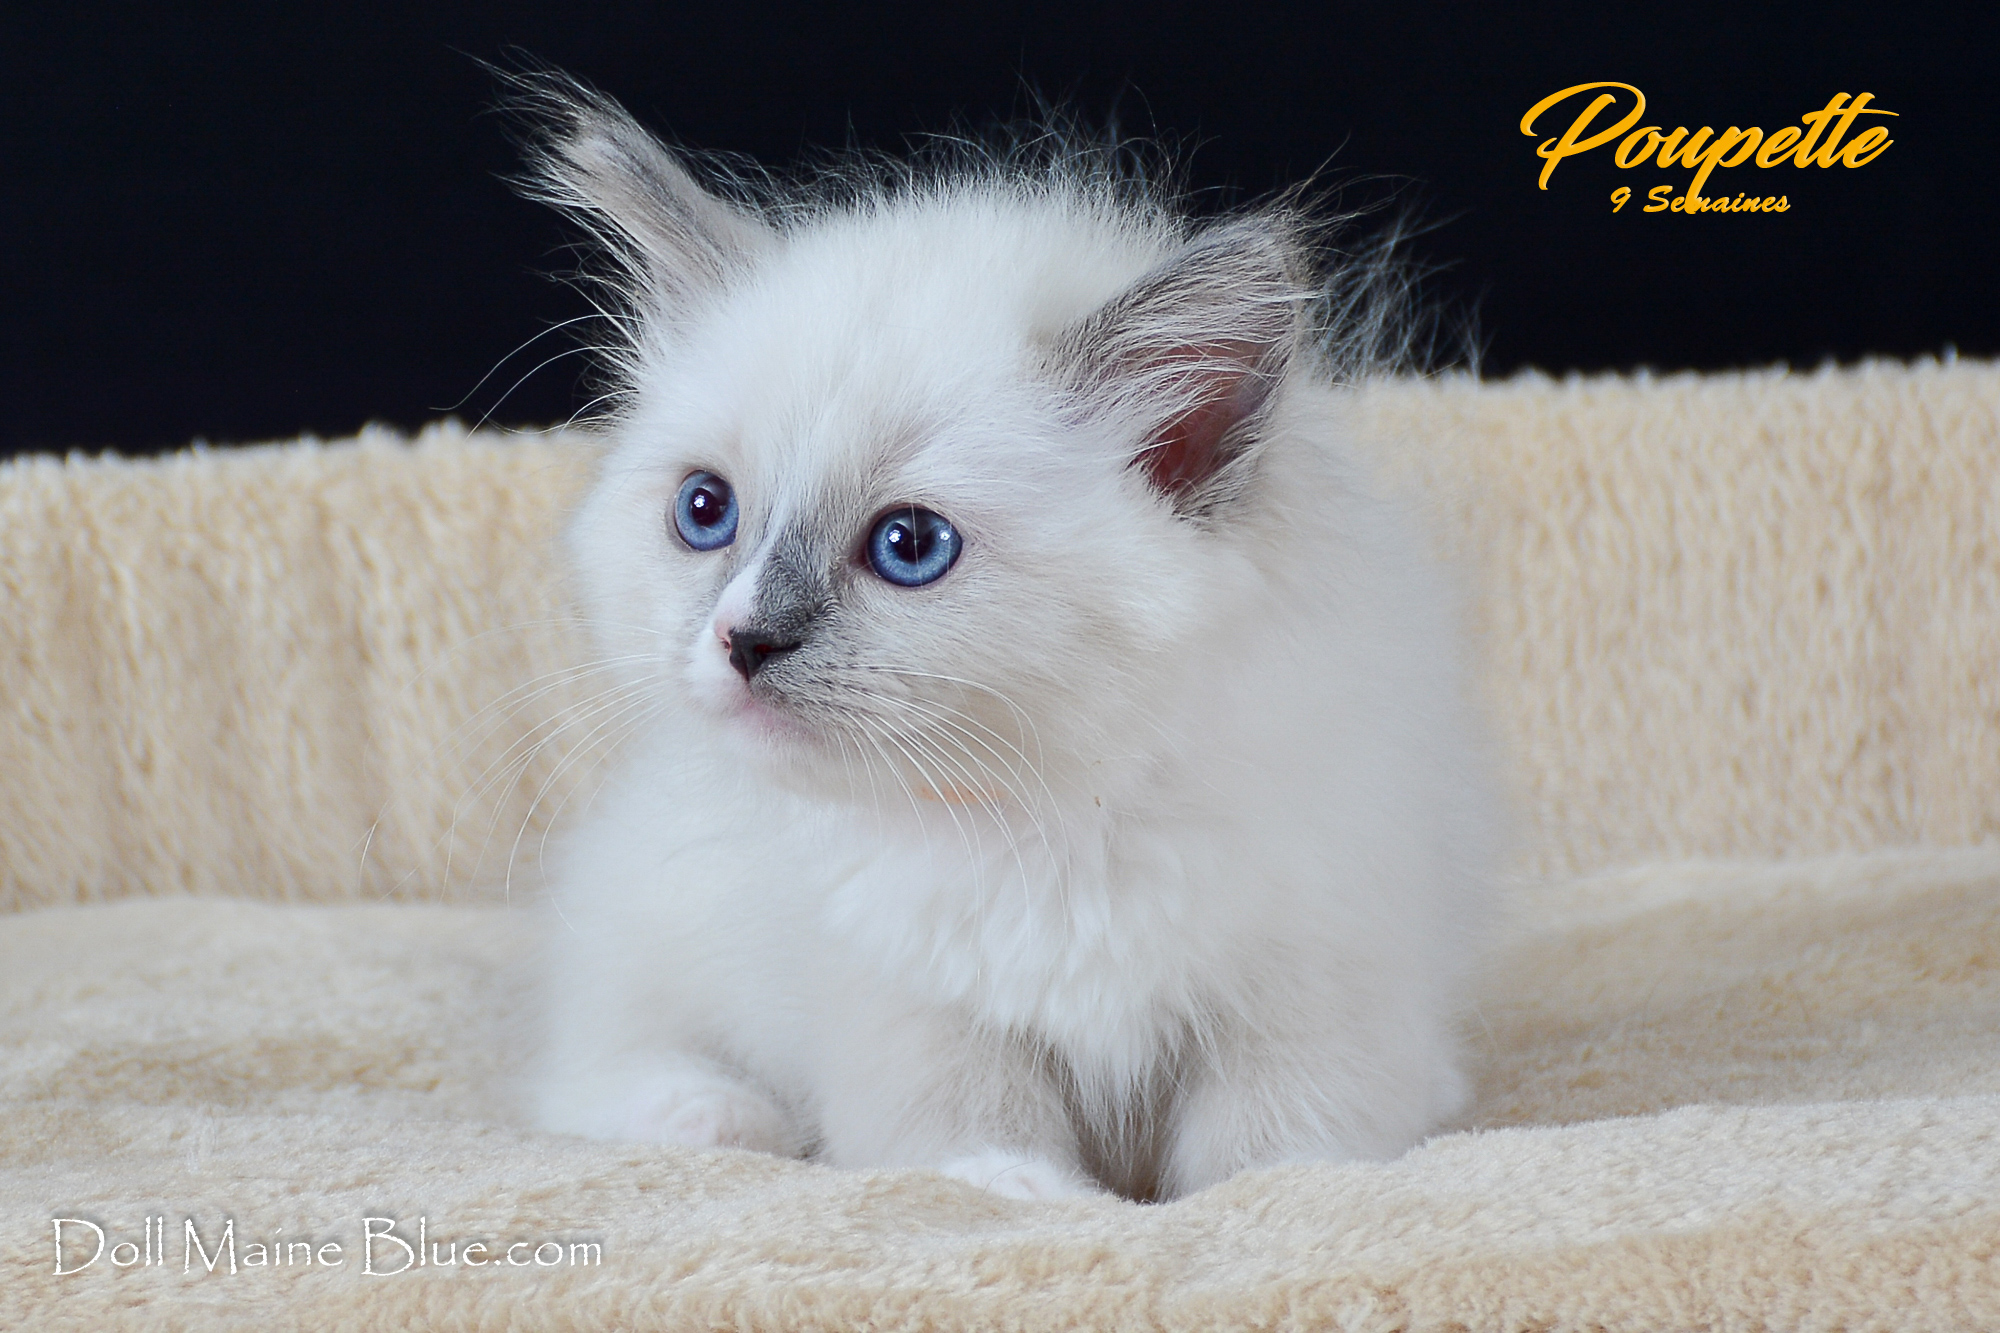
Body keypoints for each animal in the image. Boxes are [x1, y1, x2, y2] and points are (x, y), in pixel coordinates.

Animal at [519, 74, 1499, 1202]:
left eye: (908, 545)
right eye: (704, 512)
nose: (742, 640)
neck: (1054, 817)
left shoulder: (1308, 985)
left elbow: (1278, 1143)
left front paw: (1270, 1191)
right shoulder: (906, 1006)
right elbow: (973, 1134)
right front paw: (1041, 1198)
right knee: (589, 1069)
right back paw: (711, 1113)